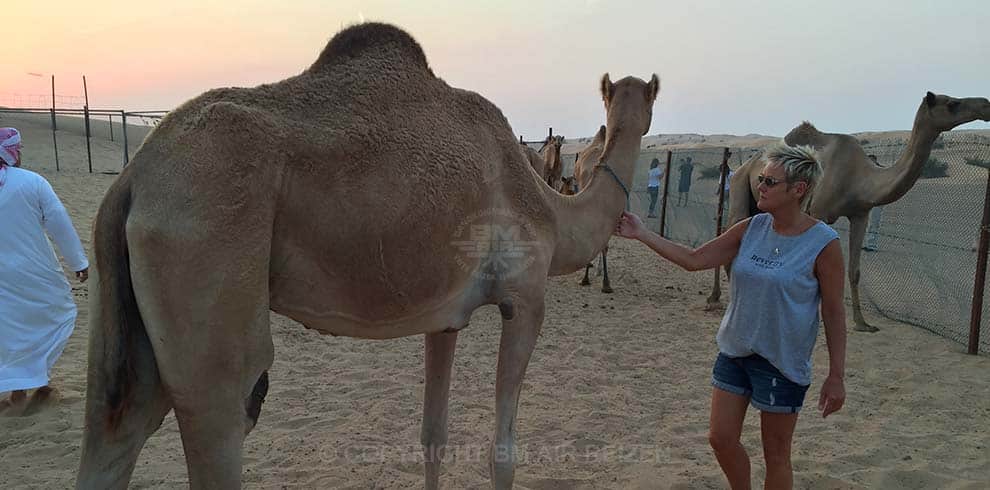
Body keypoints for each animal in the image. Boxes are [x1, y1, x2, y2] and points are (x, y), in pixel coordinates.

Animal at [75, 22, 660, 490]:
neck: (553, 209)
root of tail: (134, 177)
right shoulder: (526, 297)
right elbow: (503, 454)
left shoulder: (444, 316)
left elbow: (433, 435)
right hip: (206, 265)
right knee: (224, 404)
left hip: (125, 321)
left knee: (118, 423)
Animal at [728, 91, 990, 334]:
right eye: (953, 103)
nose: (985, 104)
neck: (860, 179)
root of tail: (749, 164)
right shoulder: (819, 212)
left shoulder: (861, 215)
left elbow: (854, 271)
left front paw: (862, 323)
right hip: (740, 186)